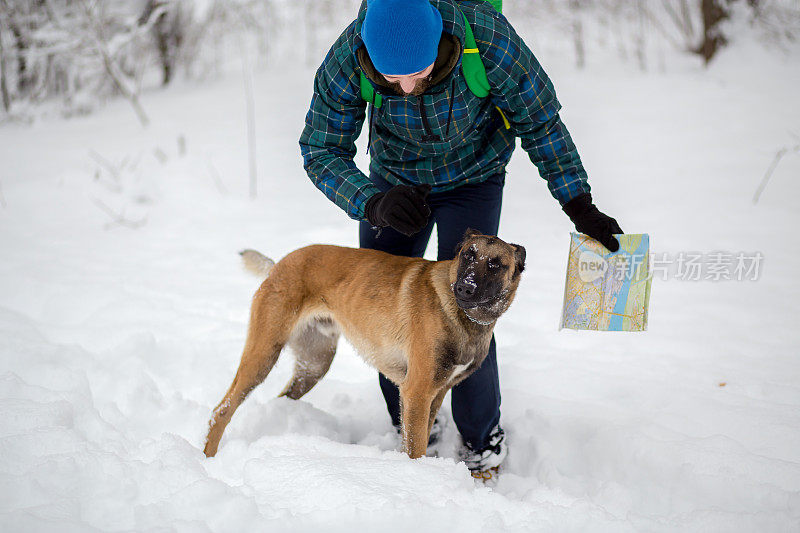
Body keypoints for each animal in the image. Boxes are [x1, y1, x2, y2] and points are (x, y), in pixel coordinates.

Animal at [203, 228, 524, 458]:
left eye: (495, 264)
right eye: (468, 255)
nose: (464, 288)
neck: (465, 318)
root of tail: (279, 263)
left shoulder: (435, 394)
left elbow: (413, 442)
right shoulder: (417, 393)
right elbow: (415, 449)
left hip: (314, 365)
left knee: (281, 398)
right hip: (262, 356)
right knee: (221, 411)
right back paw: (208, 459)